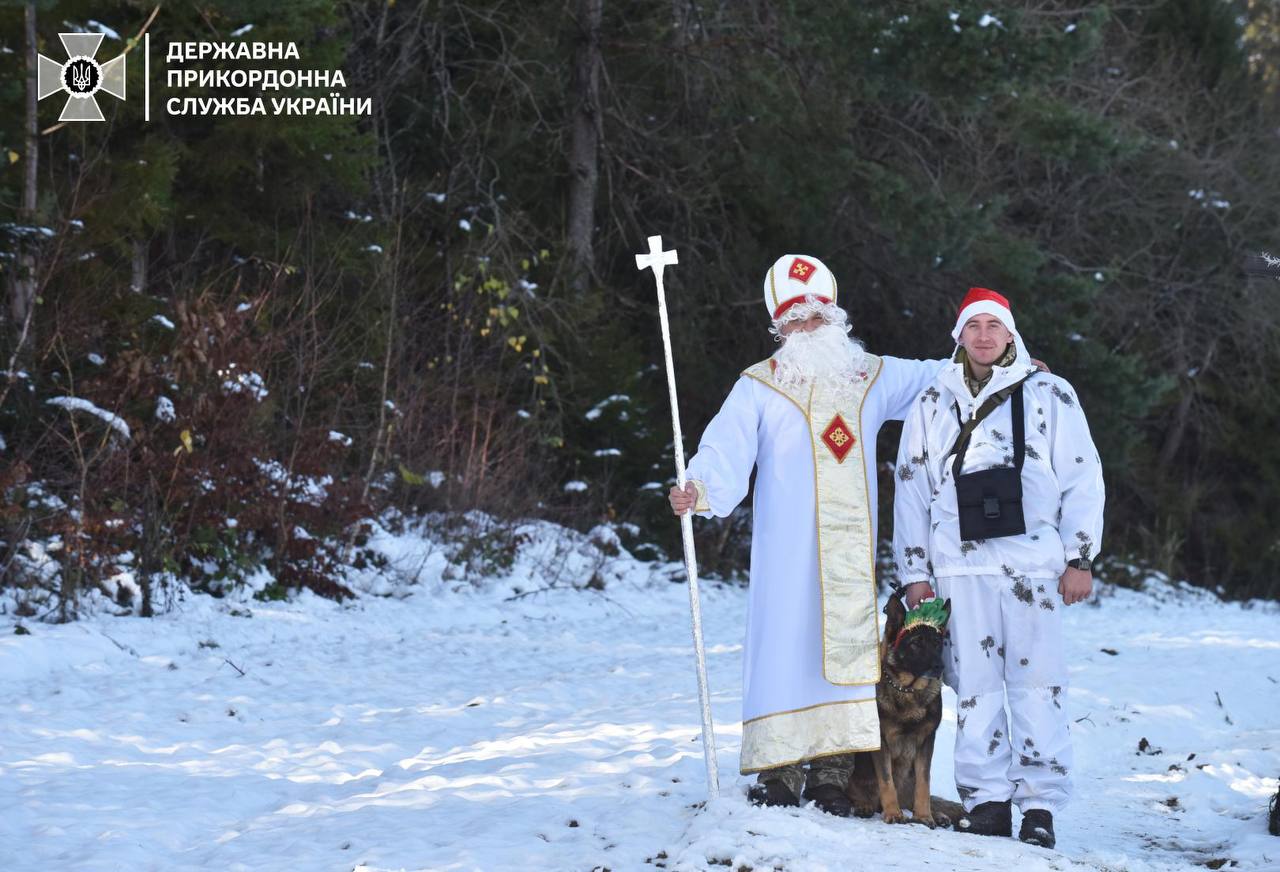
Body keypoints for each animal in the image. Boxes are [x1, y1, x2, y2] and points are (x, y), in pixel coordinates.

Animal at [849, 591, 962, 824]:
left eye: (937, 643)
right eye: (916, 643)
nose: (939, 667)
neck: (907, 691)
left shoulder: (926, 741)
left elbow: (924, 783)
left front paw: (924, 816)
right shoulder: (881, 741)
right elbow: (886, 780)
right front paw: (893, 813)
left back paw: (937, 814)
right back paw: (865, 805)